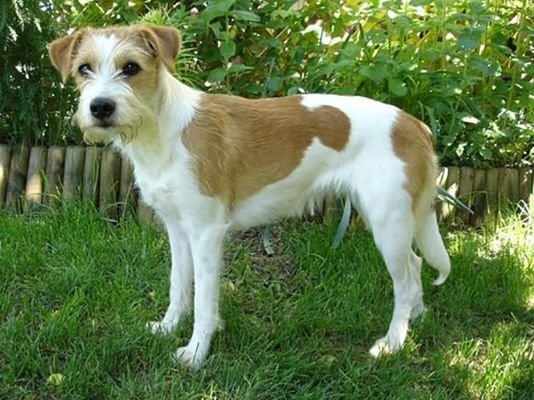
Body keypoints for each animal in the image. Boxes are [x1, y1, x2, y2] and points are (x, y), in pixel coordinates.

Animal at [49, 24, 450, 369]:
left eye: (130, 67)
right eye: (84, 69)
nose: (100, 107)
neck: (163, 132)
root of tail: (415, 124)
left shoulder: (207, 233)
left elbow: (203, 301)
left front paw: (196, 352)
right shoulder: (178, 230)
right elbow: (178, 287)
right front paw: (167, 328)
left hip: (388, 222)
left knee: (407, 277)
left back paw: (394, 341)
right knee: (415, 269)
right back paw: (415, 318)